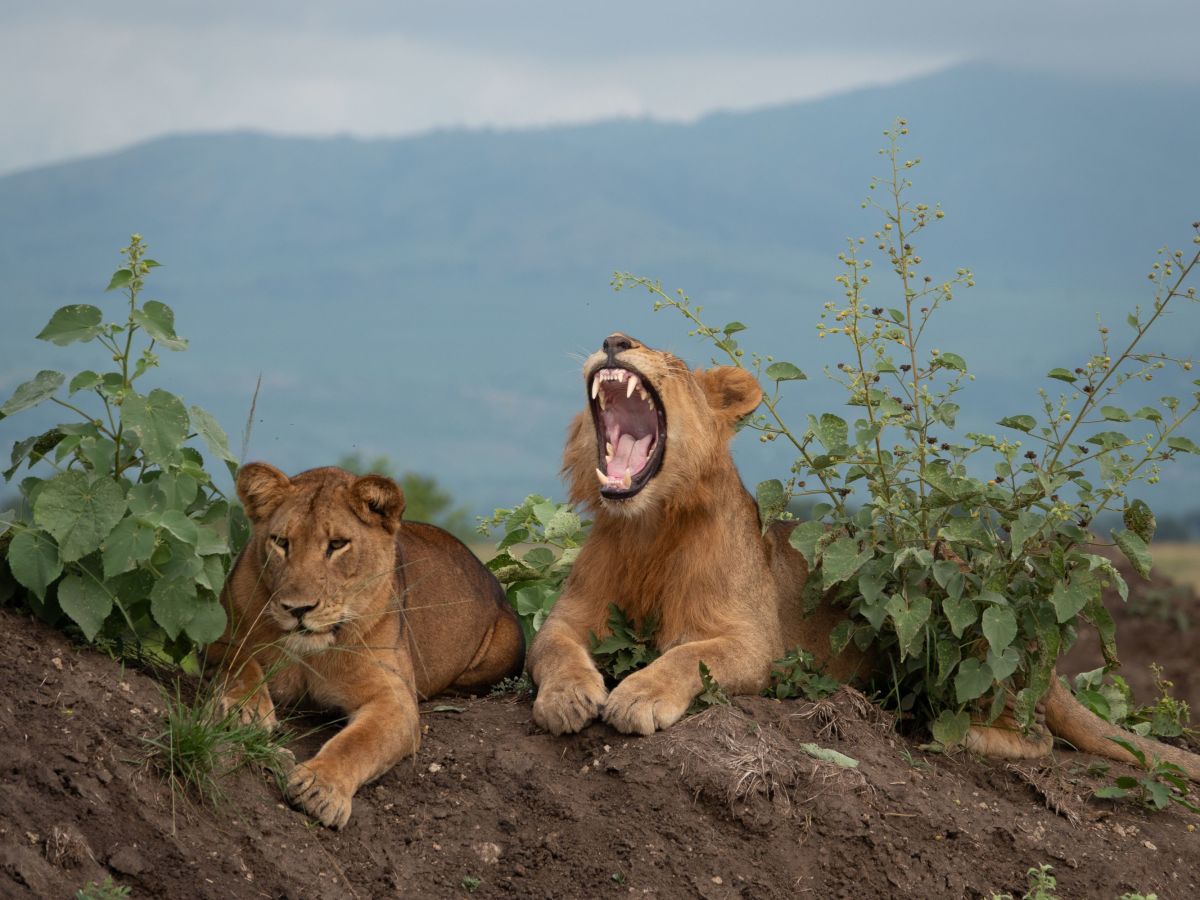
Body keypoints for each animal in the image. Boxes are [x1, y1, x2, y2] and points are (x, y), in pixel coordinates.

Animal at [211, 463, 525, 828]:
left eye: (337, 544)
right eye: (281, 542)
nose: (298, 609)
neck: (311, 652)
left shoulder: (394, 698)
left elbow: (358, 743)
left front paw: (321, 788)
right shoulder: (217, 638)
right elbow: (239, 664)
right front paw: (244, 710)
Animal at [528, 332, 1200, 780]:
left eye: (672, 363)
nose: (615, 341)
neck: (647, 528)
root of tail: (1047, 664)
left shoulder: (754, 643)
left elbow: (689, 656)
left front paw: (637, 695)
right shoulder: (569, 614)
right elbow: (554, 647)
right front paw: (566, 697)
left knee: (1037, 737)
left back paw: (971, 738)